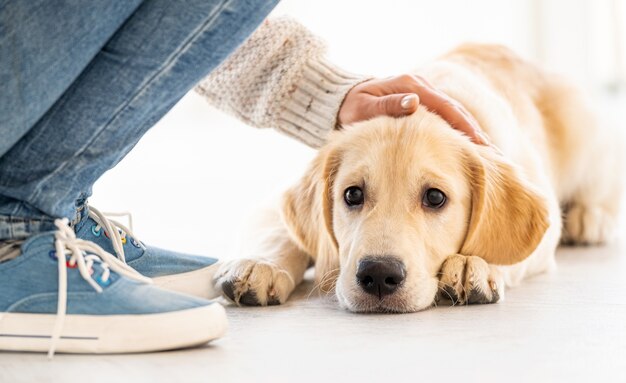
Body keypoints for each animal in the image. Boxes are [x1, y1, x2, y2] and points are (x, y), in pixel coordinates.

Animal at [213, 43, 620, 314]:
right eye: (352, 195)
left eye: (435, 198)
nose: (378, 275)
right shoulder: (272, 205)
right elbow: (281, 233)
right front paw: (260, 265)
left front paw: (472, 263)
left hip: (589, 140)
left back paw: (589, 218)